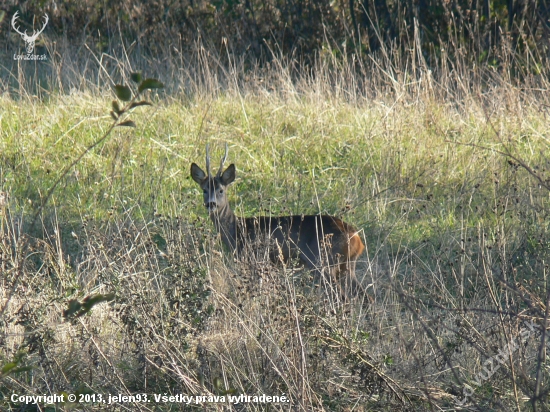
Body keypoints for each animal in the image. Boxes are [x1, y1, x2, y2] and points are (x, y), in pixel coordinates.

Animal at [191, 145, 366, 296]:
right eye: (204, 190)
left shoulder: (255, 260)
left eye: (221, 190)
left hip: (323, 262)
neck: (238, 230)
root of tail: (356, 238)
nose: (211, 204)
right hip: (346, 266)